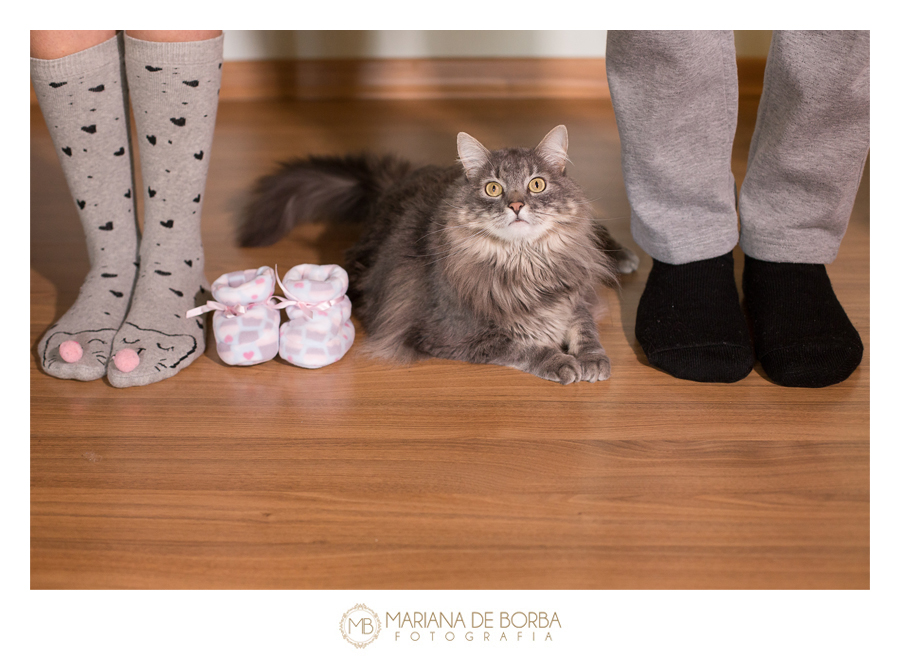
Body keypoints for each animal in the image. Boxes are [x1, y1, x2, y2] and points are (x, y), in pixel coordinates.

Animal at [236, 125, 636, 382]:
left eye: (537, 184)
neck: (525, 265)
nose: (516, 205)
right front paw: (560, 362)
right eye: (493, 188)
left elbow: (586, 329)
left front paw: (593, 360)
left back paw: (623, 256)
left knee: (596, 234)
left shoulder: (576, 295)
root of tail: (394, 184)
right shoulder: (454, 335)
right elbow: (522, 345)